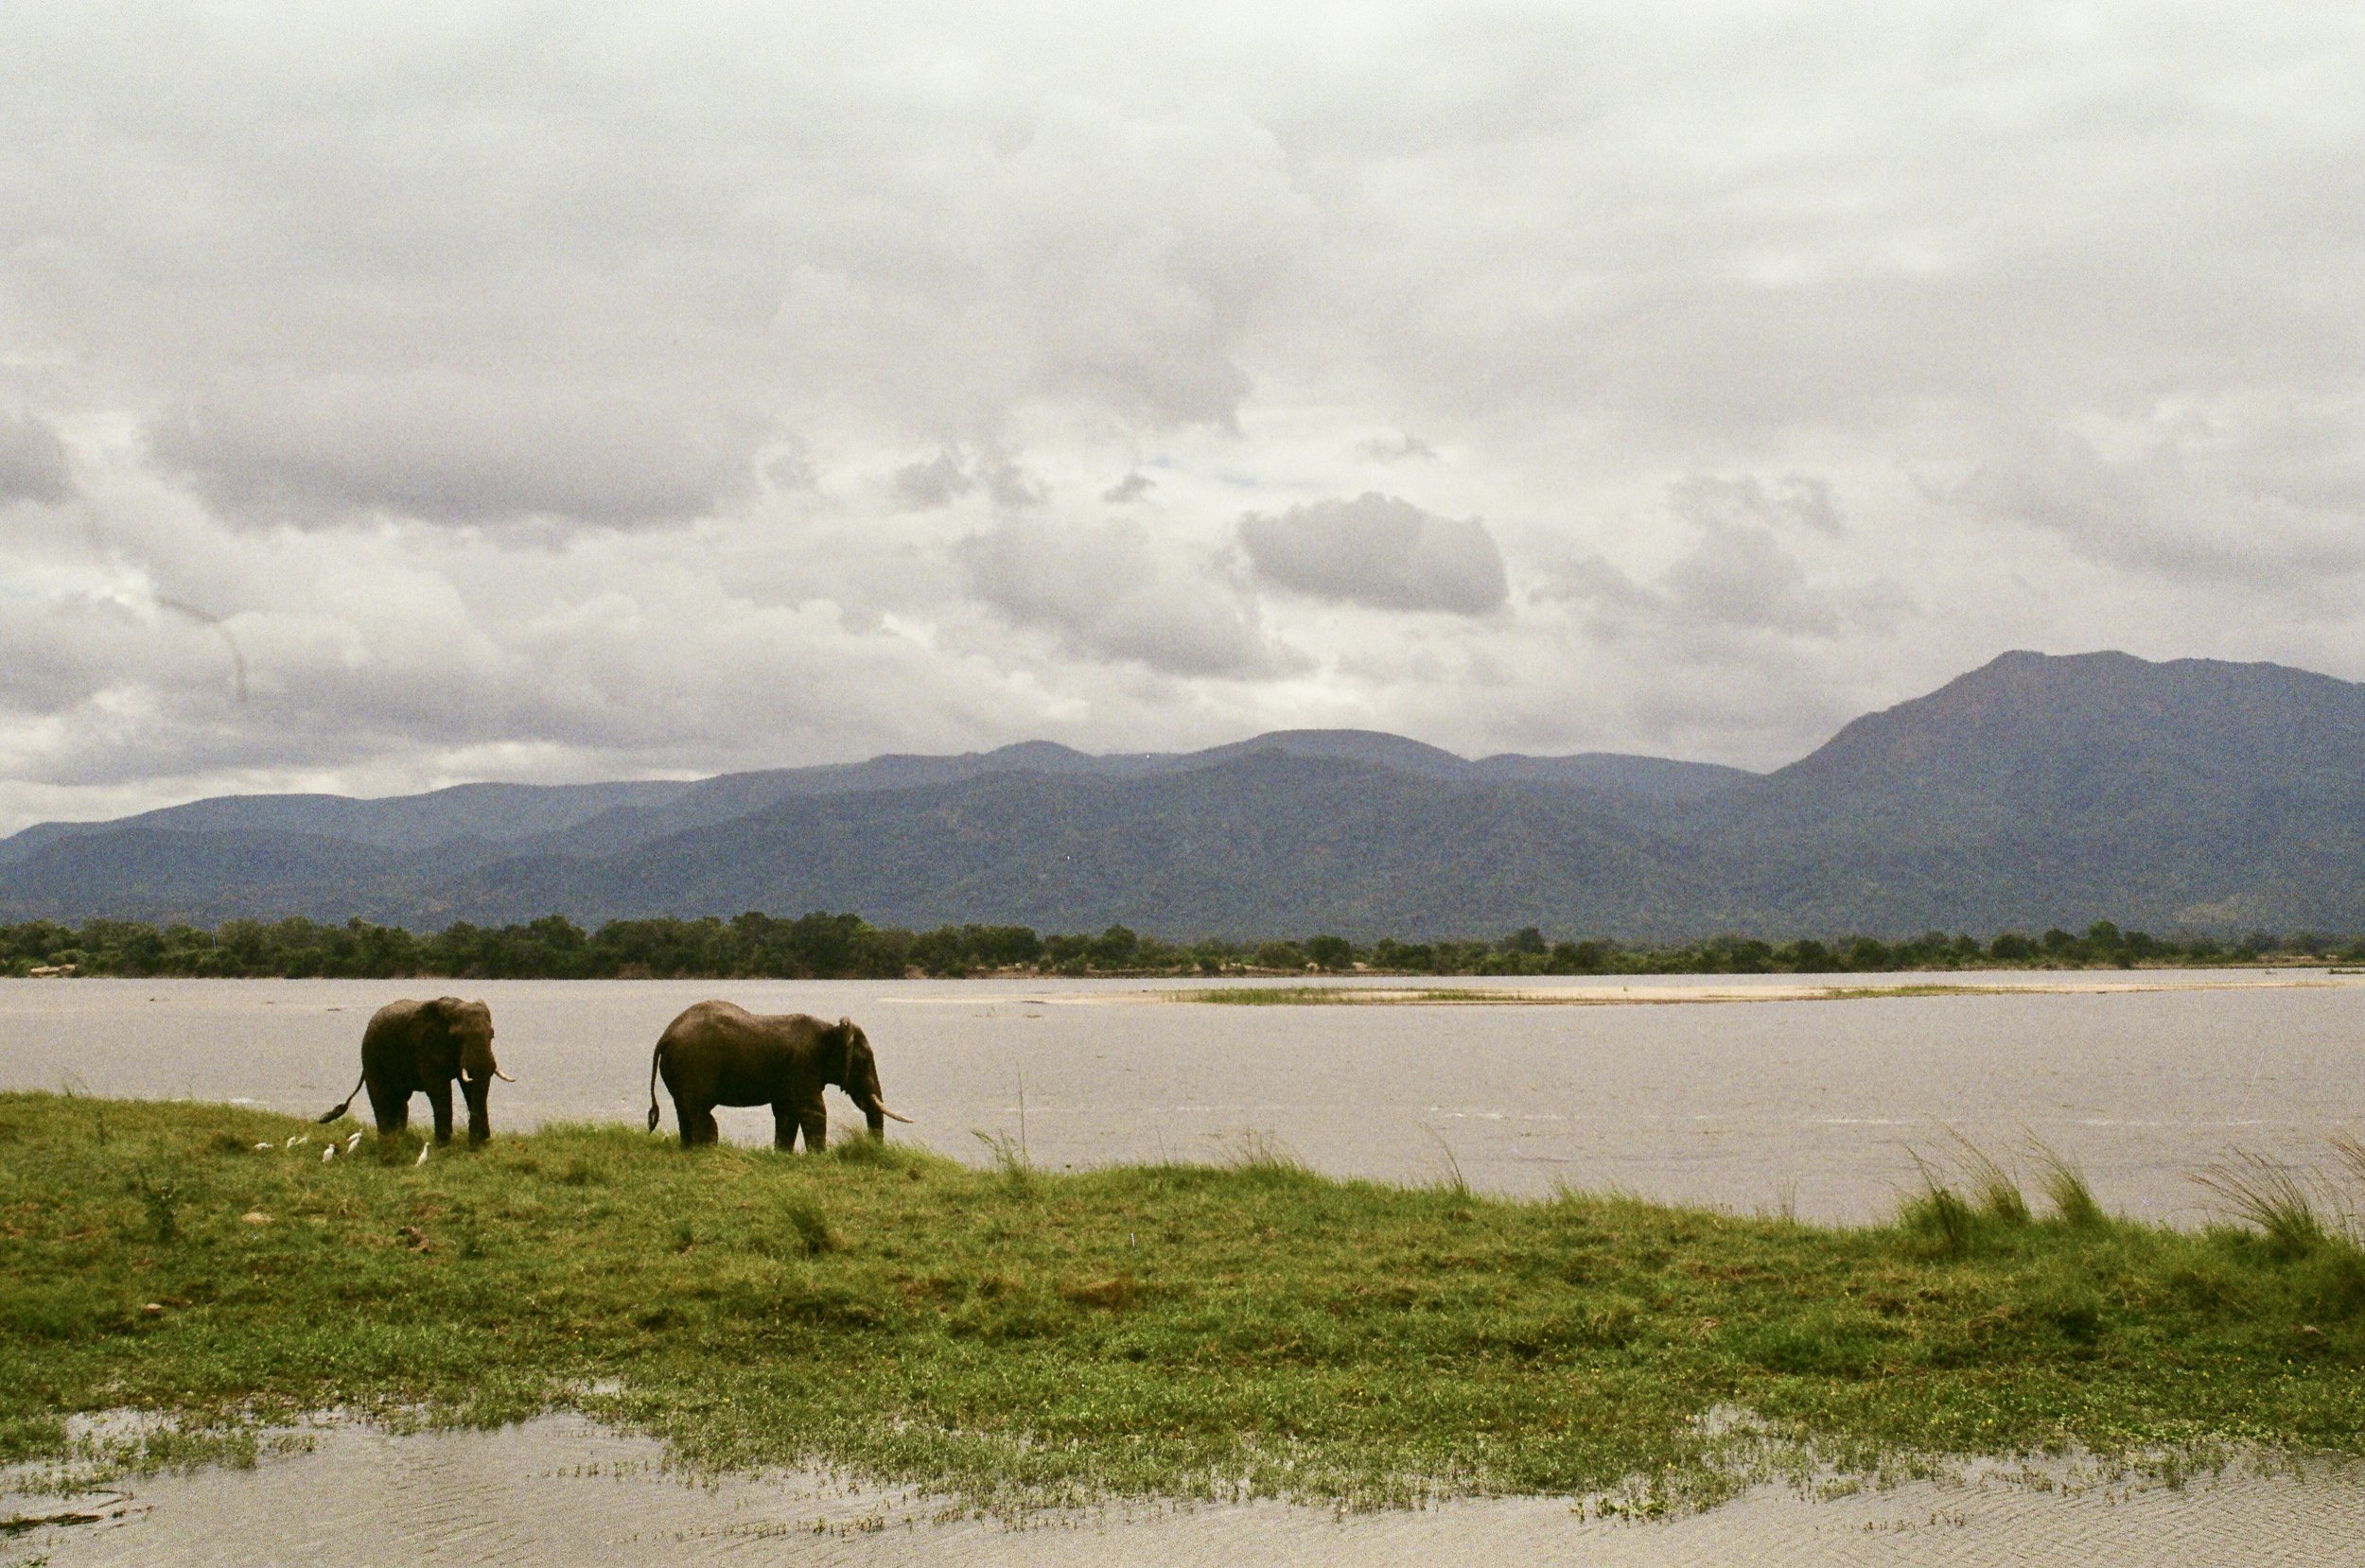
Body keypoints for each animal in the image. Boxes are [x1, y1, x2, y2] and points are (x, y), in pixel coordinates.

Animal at [318, 997, 511, 1145]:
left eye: (492, 1035)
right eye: (457, 1037)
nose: (479, 1141)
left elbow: (469, 1086)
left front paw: (478, 1141)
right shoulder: (424, 1048)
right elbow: (438, 1089)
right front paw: (443, 1144)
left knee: (400, 1099)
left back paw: (398, 1137)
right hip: (371, 1054)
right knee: (381, 1096)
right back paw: (387, 1139)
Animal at [646, 1001, 910, 1150]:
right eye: (864, 1061)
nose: (874, 1149)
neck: (831, 1029)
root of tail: (665, 1035)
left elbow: (787, 1112)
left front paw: (783, 1154)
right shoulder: (803, 1066)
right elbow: (813, 1111)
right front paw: (820, 1157)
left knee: (684, 1110)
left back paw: (688, 1148)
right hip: (695, 1065)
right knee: (702, 1113)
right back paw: (707, 1151)